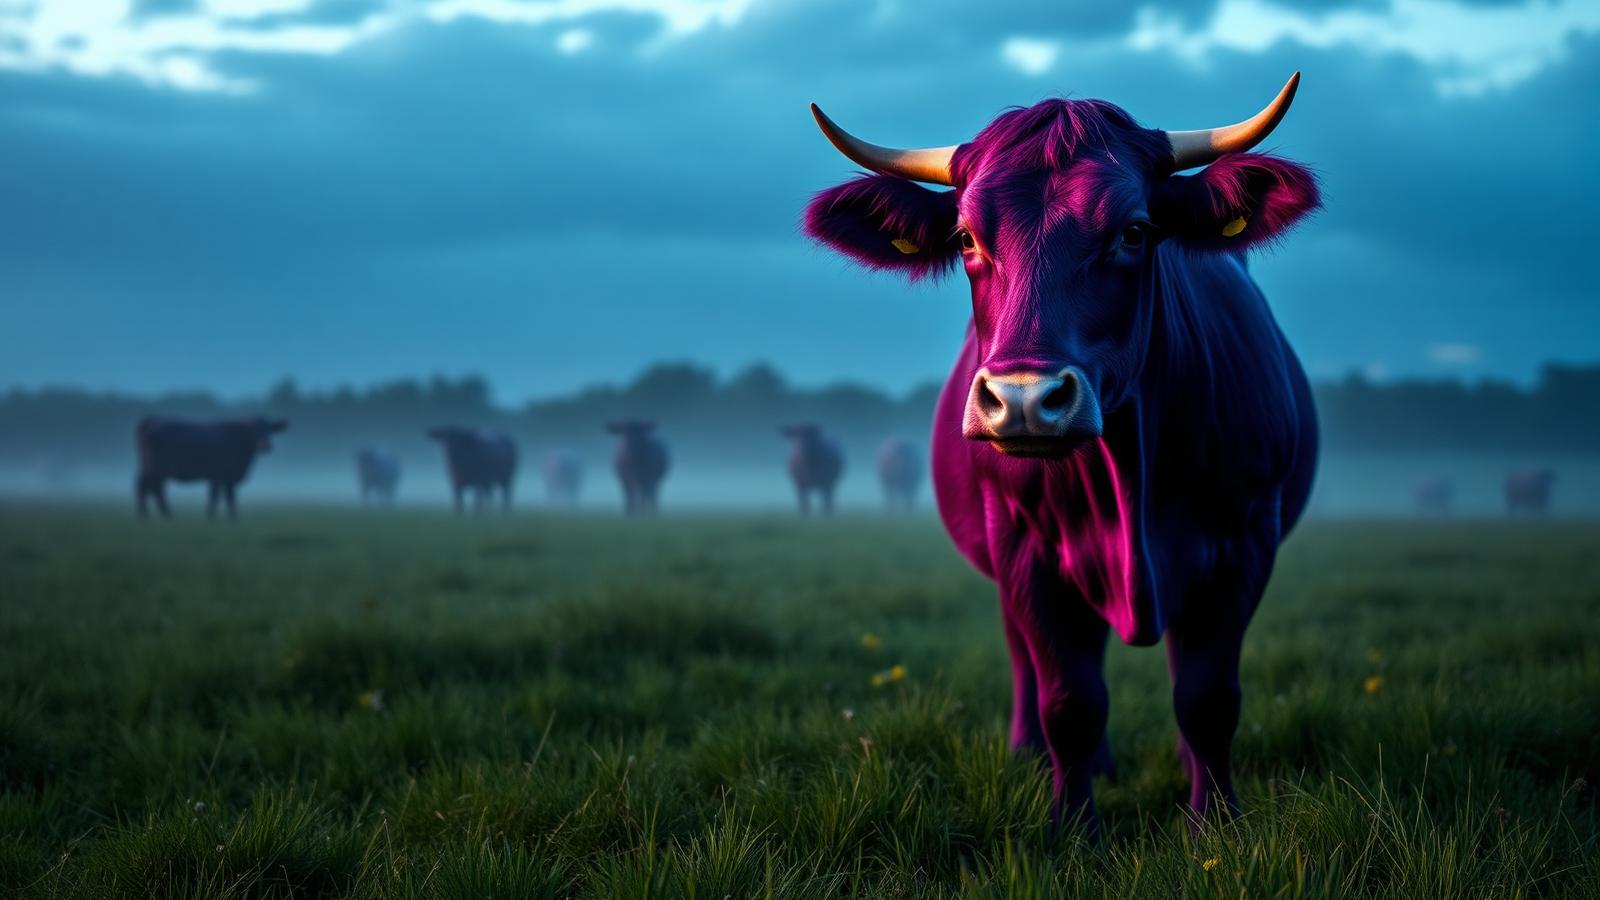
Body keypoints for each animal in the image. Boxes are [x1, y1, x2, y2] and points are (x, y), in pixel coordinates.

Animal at [135, 416, 288, 518]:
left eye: (269, 429)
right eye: (252, 430)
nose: (265, 446)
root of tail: (151, 421)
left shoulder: (223, 477)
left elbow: (224, 496)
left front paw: (224, 516)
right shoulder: (220, 475)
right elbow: (221, 496)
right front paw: (217, 516)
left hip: (150, 468)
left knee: (148, 487)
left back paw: (150, 514)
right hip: (156, 469)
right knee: (151, 488)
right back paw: (163, 514)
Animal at [803, 74, 1321, 835]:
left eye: (1134, 230)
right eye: (966, 236)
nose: (1024, 398)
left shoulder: (1245, 540)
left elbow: (1207, 697)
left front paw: (1215, 822)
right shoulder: (1026, 545)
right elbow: (1070, 699)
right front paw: (1074, 828)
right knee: (1030, 658)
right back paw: (1040, 756)